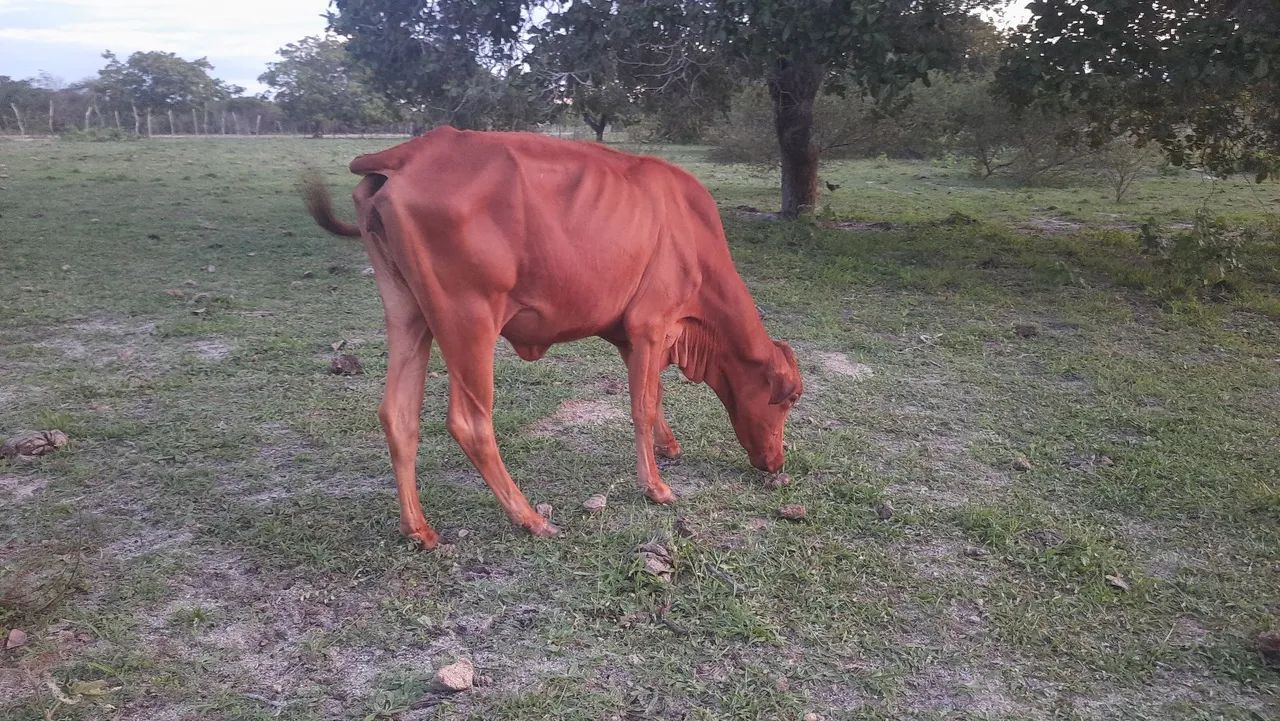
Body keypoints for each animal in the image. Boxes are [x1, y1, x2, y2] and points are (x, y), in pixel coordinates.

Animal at [303, 127, 802, 548]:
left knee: (398, 415)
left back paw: (419, 530)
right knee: (470, 422)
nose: (778, 464)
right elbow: (641, 407)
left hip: (409, 314)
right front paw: (656, 487)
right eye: (789, 398)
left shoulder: (632, 336)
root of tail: (408, 153)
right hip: (469, 321)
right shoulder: (650, 324)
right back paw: (530, 518)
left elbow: (653, 396)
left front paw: (669, 446)